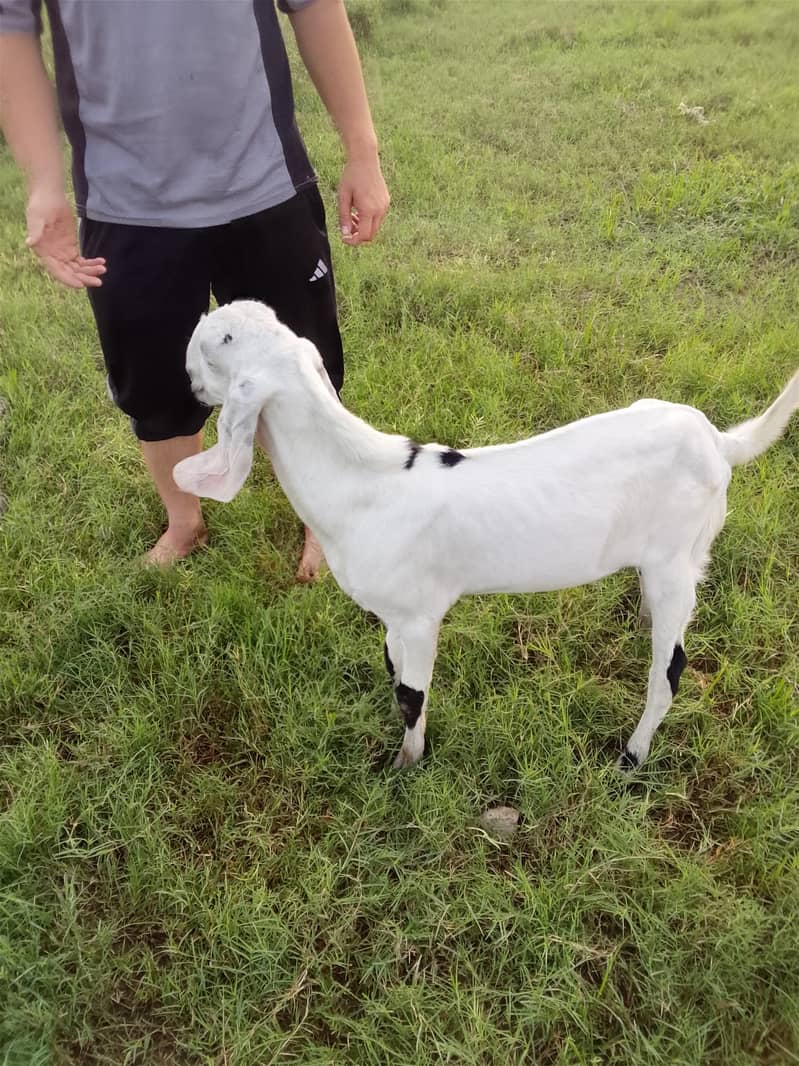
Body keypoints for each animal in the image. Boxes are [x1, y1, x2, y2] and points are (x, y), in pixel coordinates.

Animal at [173, 301, 799, 770]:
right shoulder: (392, 613)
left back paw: (631, 756)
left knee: (669, 669)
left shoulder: (420, 616)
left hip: (675, 556)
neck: (364, 480)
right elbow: (393, 672)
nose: (188, 382)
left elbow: (412, 693)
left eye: (218, 345)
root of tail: (718, 442)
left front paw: (405, 765)